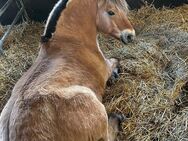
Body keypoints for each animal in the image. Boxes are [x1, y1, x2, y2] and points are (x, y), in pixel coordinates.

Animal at [0, 0, 135, 141]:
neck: (70, 41)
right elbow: (117, 60)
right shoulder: (107, 66)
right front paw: (115, 75)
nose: (130, 35)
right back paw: (117, 118)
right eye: (111, 12)